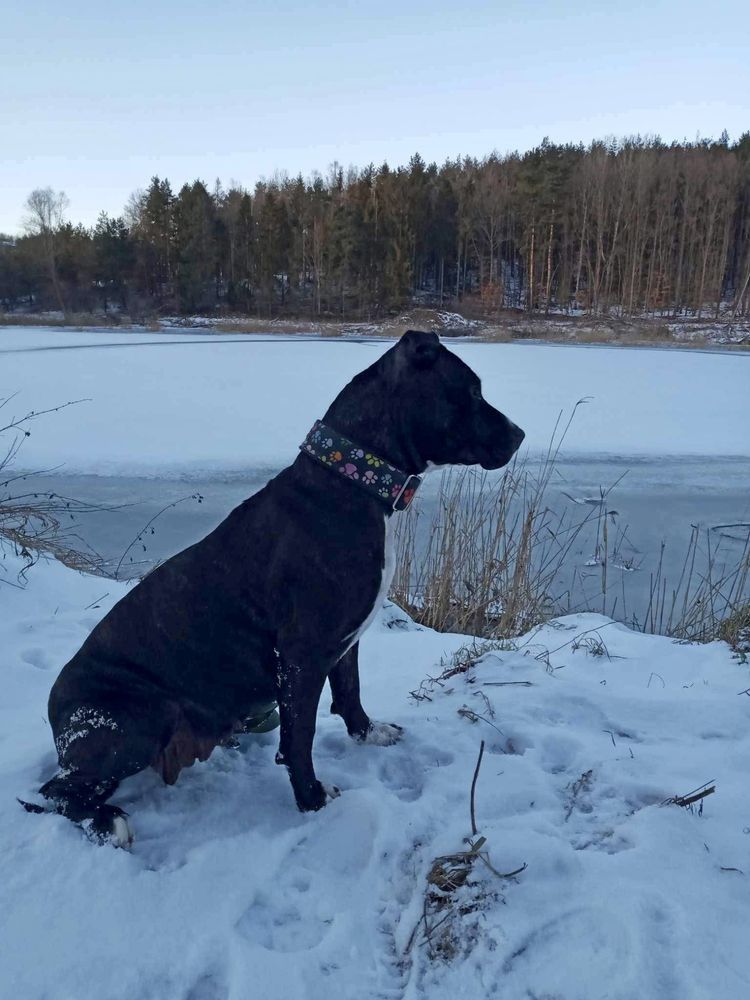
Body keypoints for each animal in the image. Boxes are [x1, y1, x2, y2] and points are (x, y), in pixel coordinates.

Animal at [27, 330, 524, 844]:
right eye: (471, 392)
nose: (519, 434)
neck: (353, 482)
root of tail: (55, 713)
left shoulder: (343, 643)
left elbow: (350, 693)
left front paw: (369, 735)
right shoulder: (303, 654)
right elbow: (299, 736)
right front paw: (312, 800)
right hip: (138, 717)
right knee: (57, 792)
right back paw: (109, 822)